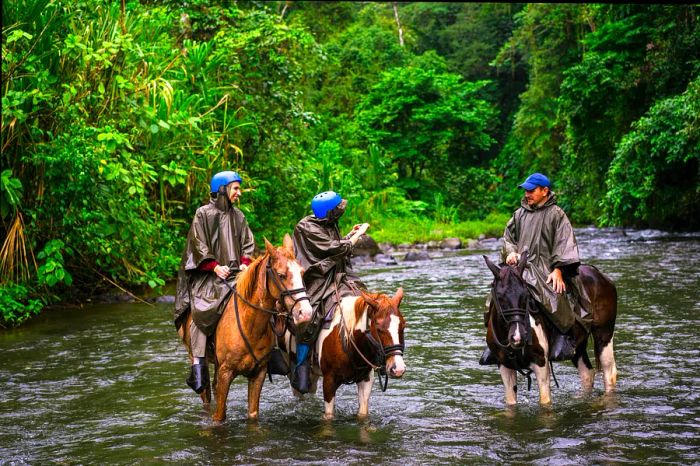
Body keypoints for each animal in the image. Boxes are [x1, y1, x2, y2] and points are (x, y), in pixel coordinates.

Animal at [179, 235, 314, 420]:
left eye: (302, 272)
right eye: (281, 275)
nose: (305, 313)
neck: (250, 324)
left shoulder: (258, 374)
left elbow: (252, 414)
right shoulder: (226, 373)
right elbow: (219, 416)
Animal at [484, 251, 616, 404]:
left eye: (525, 294)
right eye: (500, 296)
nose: (518, 337)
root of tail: (601, 276)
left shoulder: (541, 362)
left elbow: (545, 401)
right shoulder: (504, 366)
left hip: (604, 334)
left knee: (609, 373)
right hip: (578, 345)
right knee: (587, 374)